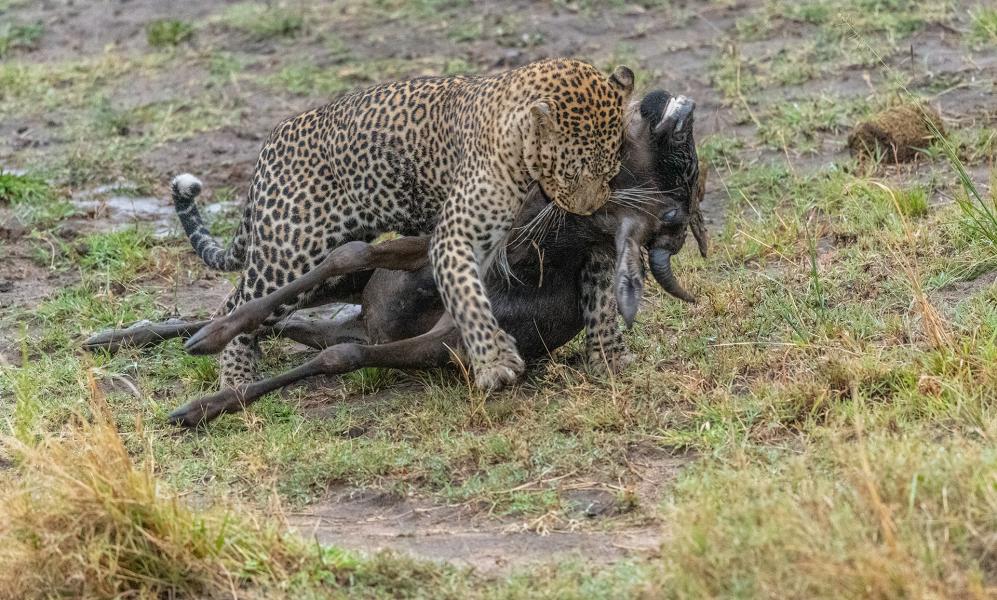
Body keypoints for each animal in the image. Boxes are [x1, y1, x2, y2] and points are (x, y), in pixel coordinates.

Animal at [171, 59, 634, 393]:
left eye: (611, 172)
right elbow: (468, 296)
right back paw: (234, 377)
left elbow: (600, 298)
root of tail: (269, 144)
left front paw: (608, 357)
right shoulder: (455, 235)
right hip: (289, 250)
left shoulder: (592, 245)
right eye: (570, 173)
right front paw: (494, 361)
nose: (590, 209)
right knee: (238, 301)